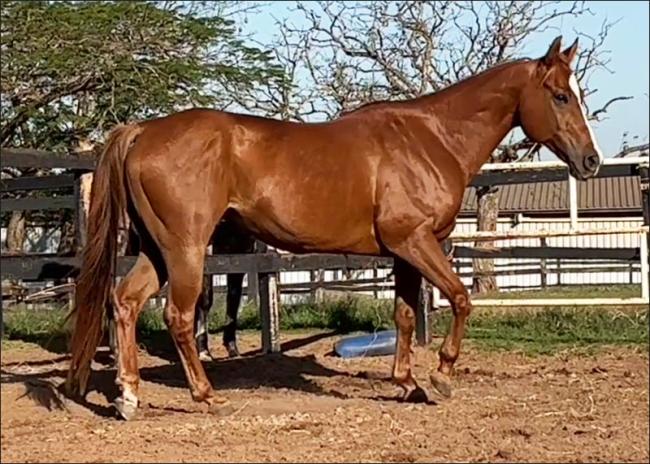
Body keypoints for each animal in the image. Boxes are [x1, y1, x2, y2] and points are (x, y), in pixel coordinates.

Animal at [66, 36, 603, 420]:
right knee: (177, 317)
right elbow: (460, 297)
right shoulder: (416, 241)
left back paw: (128, 397)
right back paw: (205, 394)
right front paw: (443, 375)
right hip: (187, 250)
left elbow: (404, 316)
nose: (591, 161)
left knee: (126, 302)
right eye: (560, 96)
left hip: (158, 250)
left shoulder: (405, 250)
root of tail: (142, 131)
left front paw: (407, 384)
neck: (430, 139)